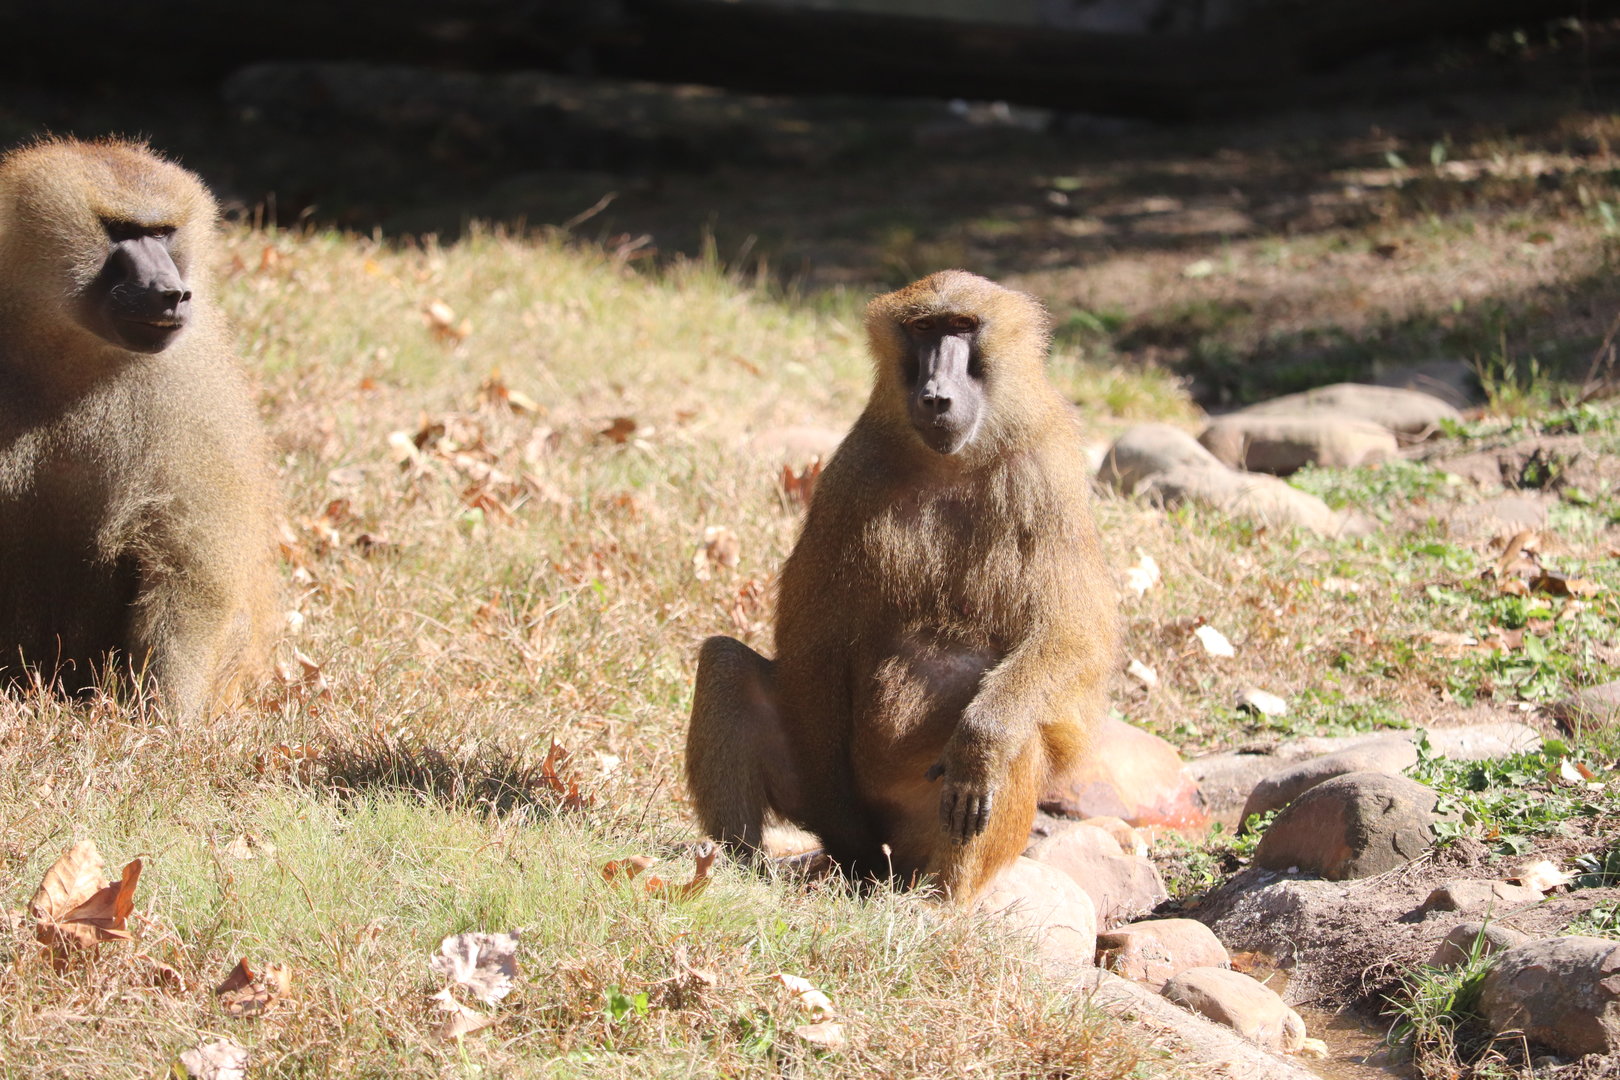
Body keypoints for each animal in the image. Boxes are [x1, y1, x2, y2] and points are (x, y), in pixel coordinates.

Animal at [0, 137, 278, 719]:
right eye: (120, 231)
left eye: (163, 232)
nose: (170, 292)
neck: (67, 349)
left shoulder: (189, 387)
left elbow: (190, 563)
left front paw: (163, 719)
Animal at [686, 270, 1117, 903]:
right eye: (922, 329)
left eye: (962, 326)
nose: (936, 395)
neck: (953, 462)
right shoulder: (850, 475)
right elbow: (811, 642)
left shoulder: (1048, 474)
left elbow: (1072, 637)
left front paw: (981, 742)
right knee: (726, 664)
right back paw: (741, 869)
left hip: (928, 822)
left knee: (1019, 738)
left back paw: (939, 902)